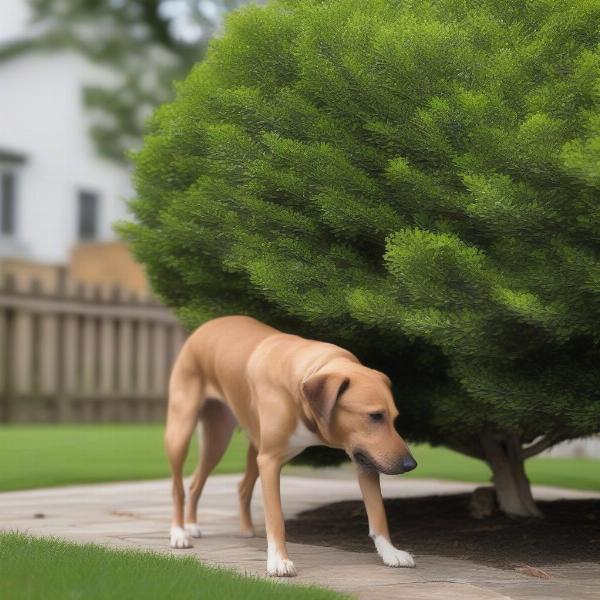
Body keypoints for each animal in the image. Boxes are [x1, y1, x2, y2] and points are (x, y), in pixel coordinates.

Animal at [164, 316, 418, 576]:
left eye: (394, 418)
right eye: (375, 416)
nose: (410, 464)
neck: (310, 372)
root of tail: (208, 325)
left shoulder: (364, 458)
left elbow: (378, 512)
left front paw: (390, 552)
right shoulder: (269, 461)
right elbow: (276, 516)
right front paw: (278, 560)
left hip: (225, 440)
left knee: (212, 483)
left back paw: (211, 526)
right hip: (182, 431)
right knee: (178, 487)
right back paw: (180, 533)